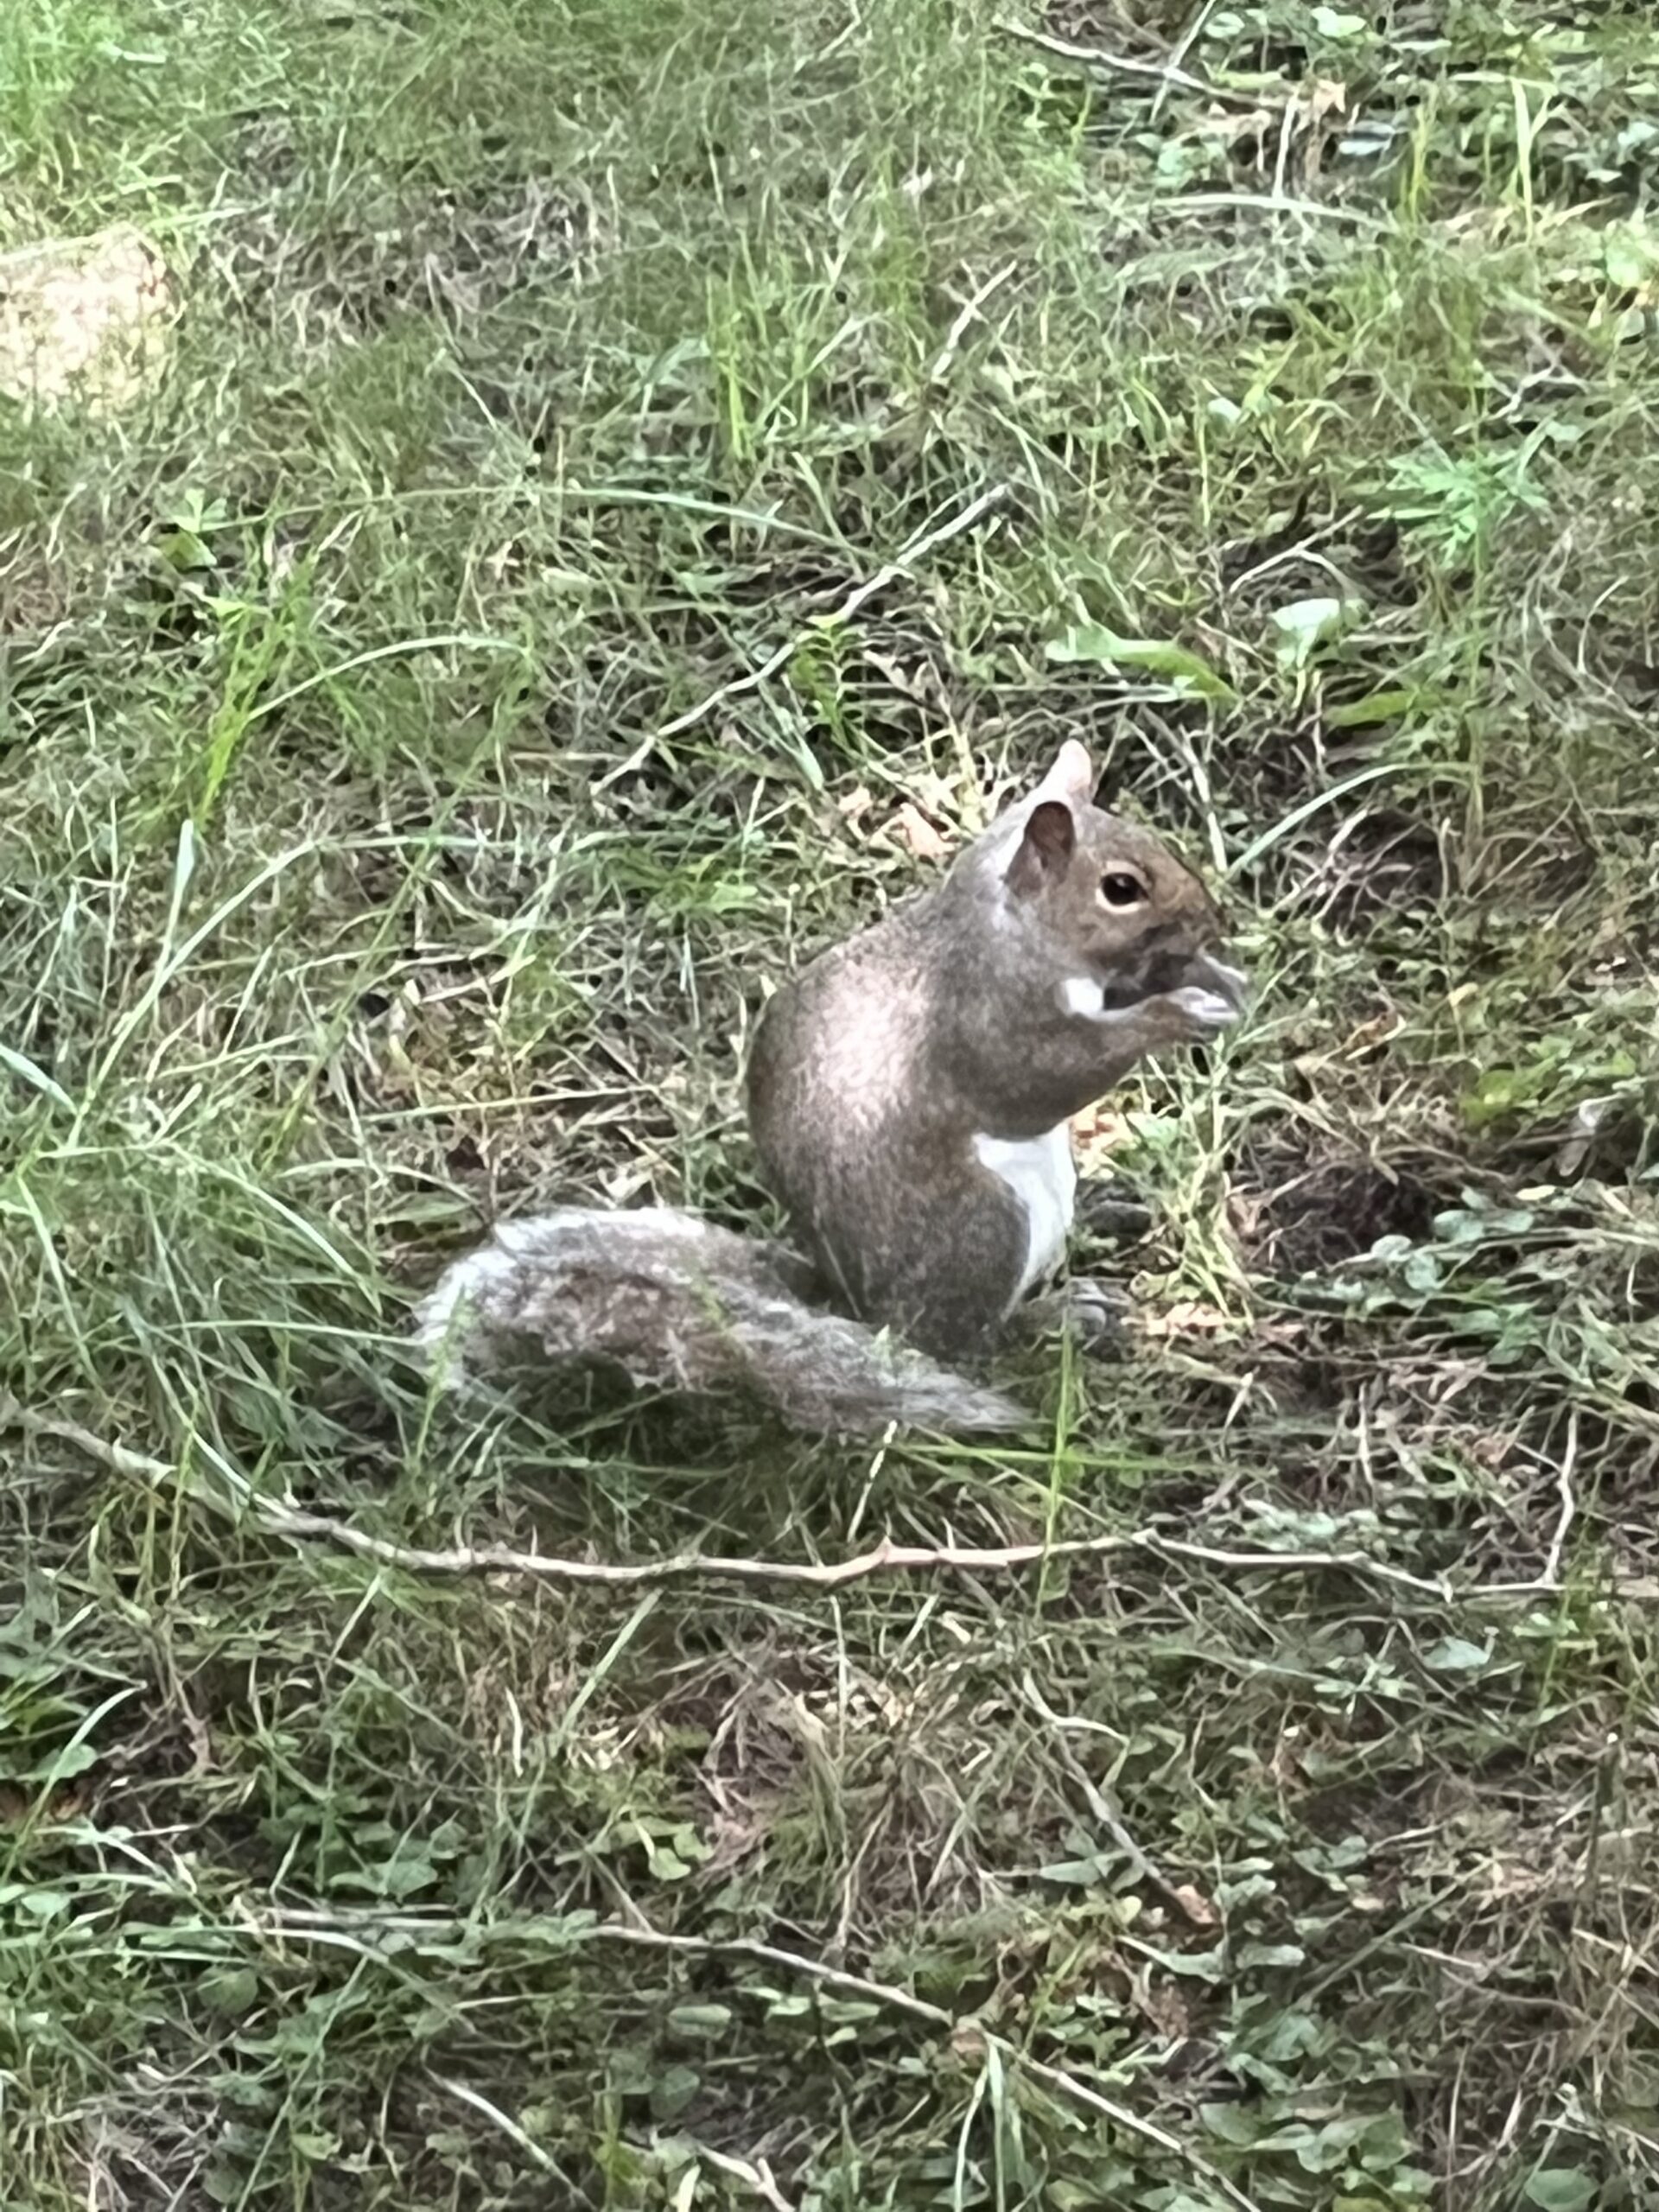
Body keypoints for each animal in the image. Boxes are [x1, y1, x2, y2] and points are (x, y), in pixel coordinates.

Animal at [416, 743, 1247, 1433]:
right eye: (1121, 889)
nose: (1214, 919)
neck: (1004, 924)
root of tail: (858, 1308)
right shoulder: (985, 1014)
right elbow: (1045, 1078)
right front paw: (1174, 1014)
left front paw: (1212, 978)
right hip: (984, 1228)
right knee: (967, 1344)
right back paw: (1061, 1318)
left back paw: (1103, 1213)